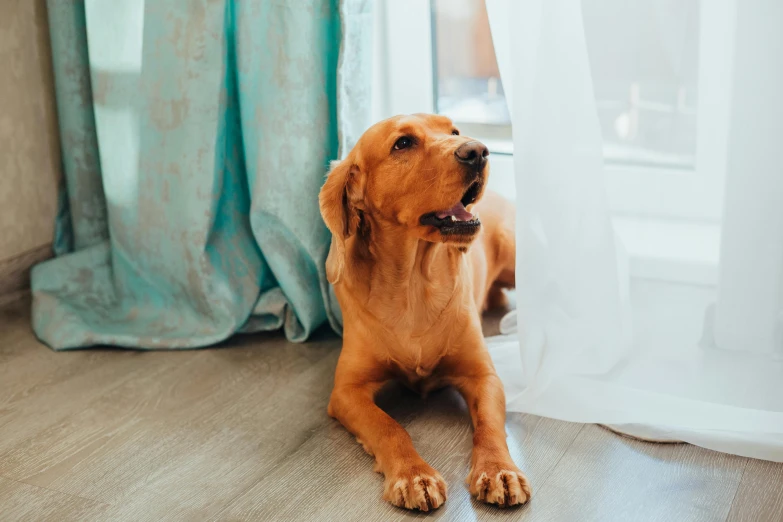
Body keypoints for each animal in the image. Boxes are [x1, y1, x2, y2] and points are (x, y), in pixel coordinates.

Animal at [320, 112, 532, 508]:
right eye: (403, 143)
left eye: (454, 131)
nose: (478, 151)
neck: (412, 285)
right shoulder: (346, 391)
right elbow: (389, 427)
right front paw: (413, 474)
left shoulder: (484, 376)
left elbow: (490, 427)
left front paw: (499, 469)